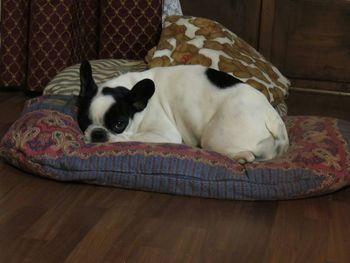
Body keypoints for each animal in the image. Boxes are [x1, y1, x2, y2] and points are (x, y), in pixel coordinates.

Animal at [78, 61, 288, 164]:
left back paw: (242, 157)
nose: (98, 134)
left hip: (214, 136)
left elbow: (132, 138)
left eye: (118, 125)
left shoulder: (165, 133)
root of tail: (273, 117)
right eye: (83, 121)